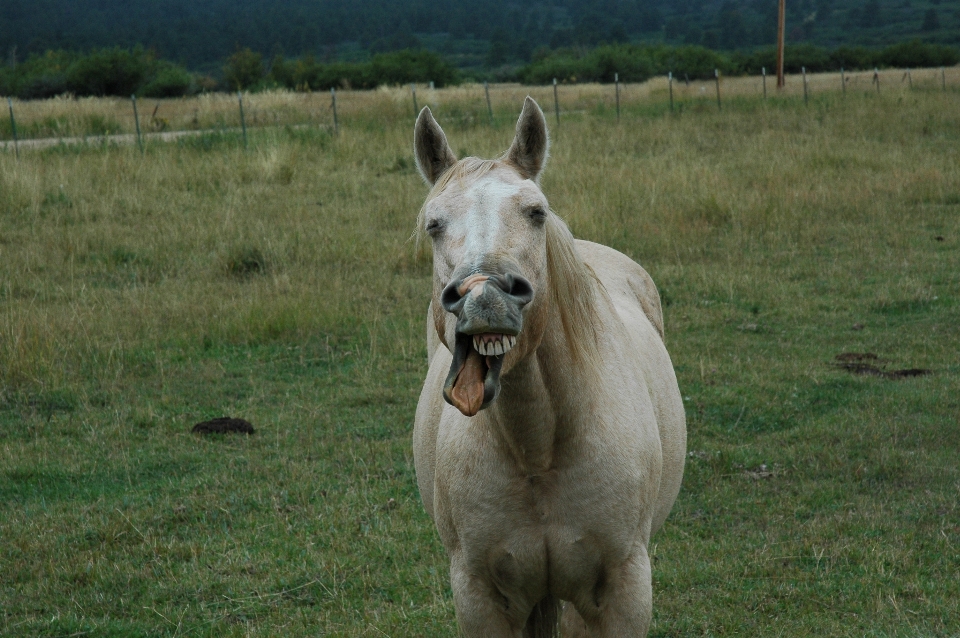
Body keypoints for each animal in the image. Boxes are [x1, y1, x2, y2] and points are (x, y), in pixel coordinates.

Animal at [408, 97, 688, 636]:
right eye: (434, 223)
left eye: (536, 212)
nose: (485, 296)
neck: (539, 449)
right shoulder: (479, 597)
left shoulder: (622, 591)